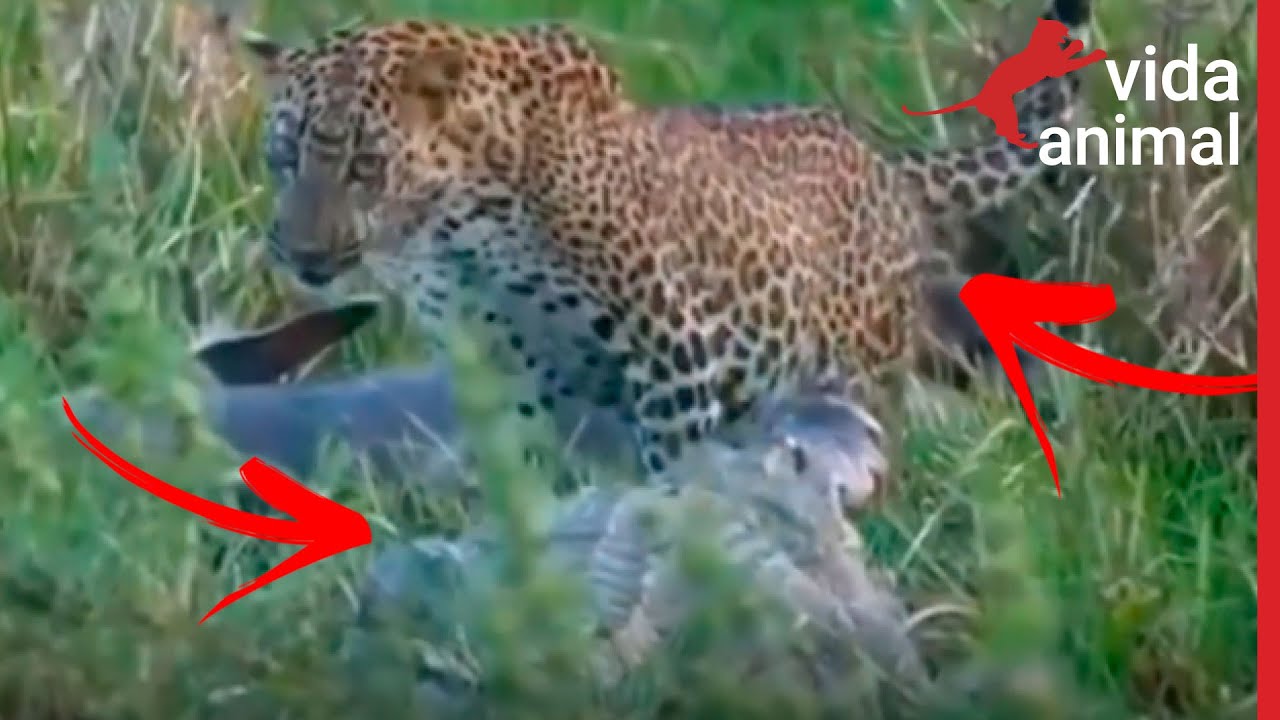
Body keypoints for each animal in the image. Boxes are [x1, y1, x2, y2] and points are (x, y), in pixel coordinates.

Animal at [240, 0, 1098, 485]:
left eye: (365, 165)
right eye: (282, 158)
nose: (301, 256)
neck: (458, 226)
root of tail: (882, 160)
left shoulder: (674, 350)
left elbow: (670, 467)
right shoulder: (514, 370)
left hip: (857, 364)